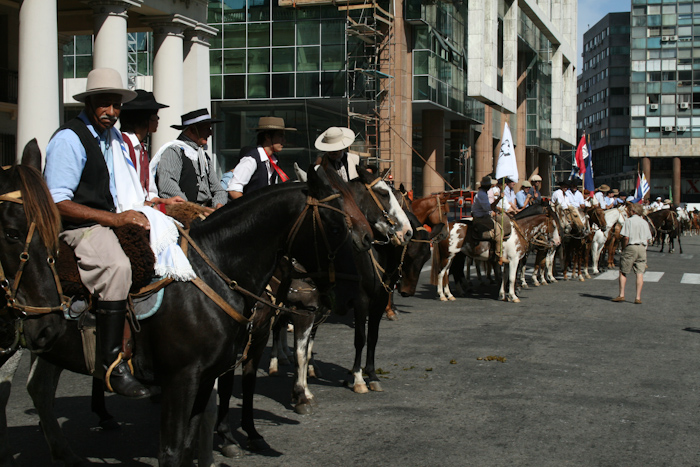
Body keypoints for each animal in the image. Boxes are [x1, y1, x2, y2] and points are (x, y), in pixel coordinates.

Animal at [2, 152, 358, 466]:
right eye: (336, 227)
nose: (332, 300)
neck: (213, 270)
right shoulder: (183, 378)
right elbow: (177, 445)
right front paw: (228, 441)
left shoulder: (225, 360)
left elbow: (208, 423)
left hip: (48, 346)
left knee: (39, 388)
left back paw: (65, 450)